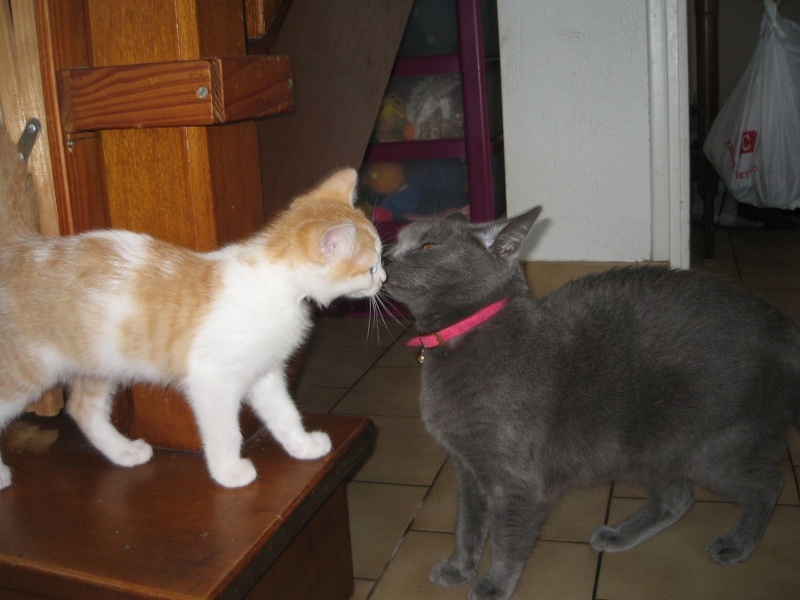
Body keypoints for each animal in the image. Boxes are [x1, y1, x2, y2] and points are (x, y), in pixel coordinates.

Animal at [0, 125, 388, 488]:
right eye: (370, 267)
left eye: (379, 261)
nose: (384, 278)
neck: (278, 285)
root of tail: (23, 248)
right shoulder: (211, 380)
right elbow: (225, 431)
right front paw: (229, 472)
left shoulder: (264, 372)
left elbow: (284, 412)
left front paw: (302, 445)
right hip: (28, 369)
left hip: (101, 362)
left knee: (83, 409)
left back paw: (124, 452)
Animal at [384, 205, 800, 600]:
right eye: (398, 241)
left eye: (427, 246)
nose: (385, 257)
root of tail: (784, 326)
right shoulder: (467, 468)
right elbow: (467, 524)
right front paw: (459, 567)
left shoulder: (516, 480)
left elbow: (506, 538)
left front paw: (495, 584)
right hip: (653, 446)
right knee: (678, 498)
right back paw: (617, 535)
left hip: (719, 448)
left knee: (767, 487)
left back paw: (736, 545)